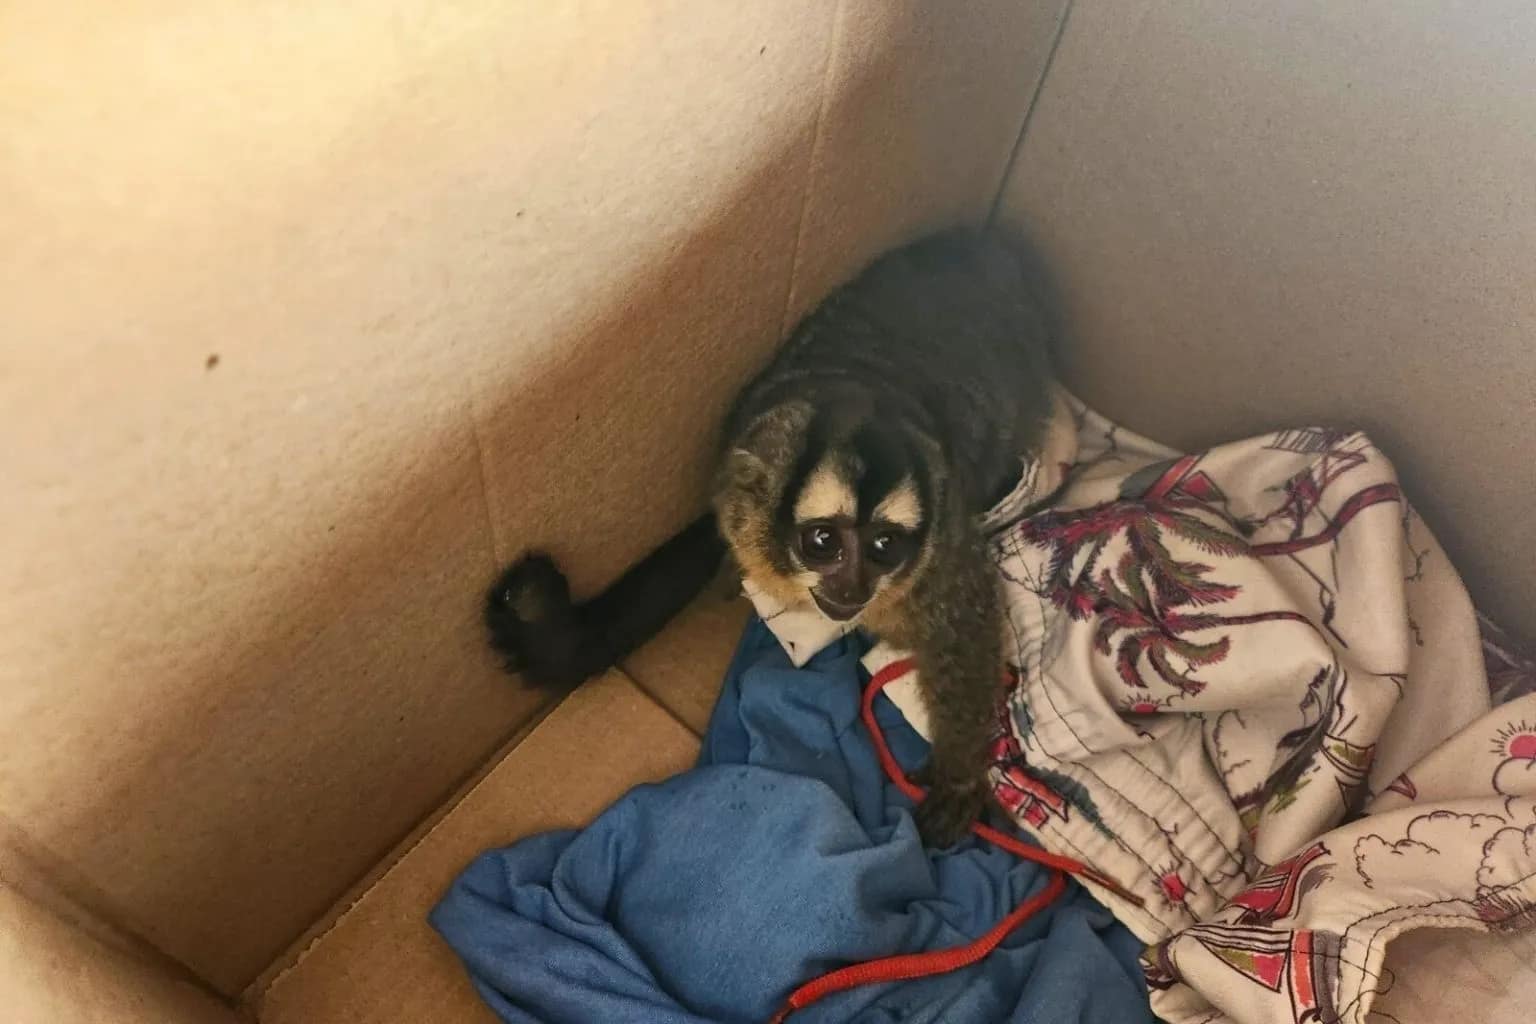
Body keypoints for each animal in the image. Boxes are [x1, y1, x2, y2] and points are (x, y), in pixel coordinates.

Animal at [485, 228, 1058, 848]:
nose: (854, 587)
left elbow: (966, 628)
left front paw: (958, 780)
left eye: (885, 547)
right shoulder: (733, 512)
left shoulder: (941, 554)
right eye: (823, 541)